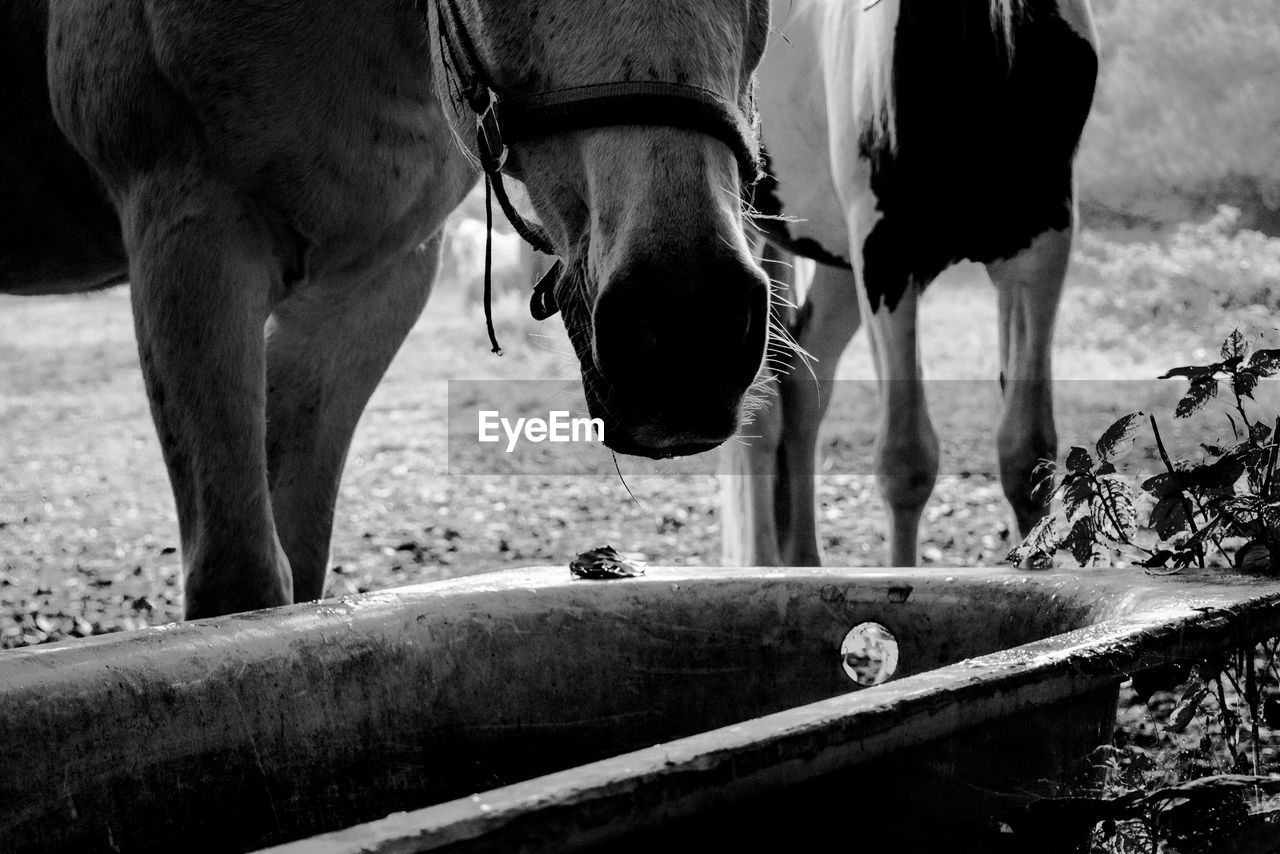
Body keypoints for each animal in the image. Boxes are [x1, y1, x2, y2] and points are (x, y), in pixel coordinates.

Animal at [721, 0, 1099, 567]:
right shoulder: (886, 258)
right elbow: (906, 463)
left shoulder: (1040, 253)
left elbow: (1026, 452)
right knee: (762, 411)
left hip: (838, 261)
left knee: (802, 388)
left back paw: (805, 562)